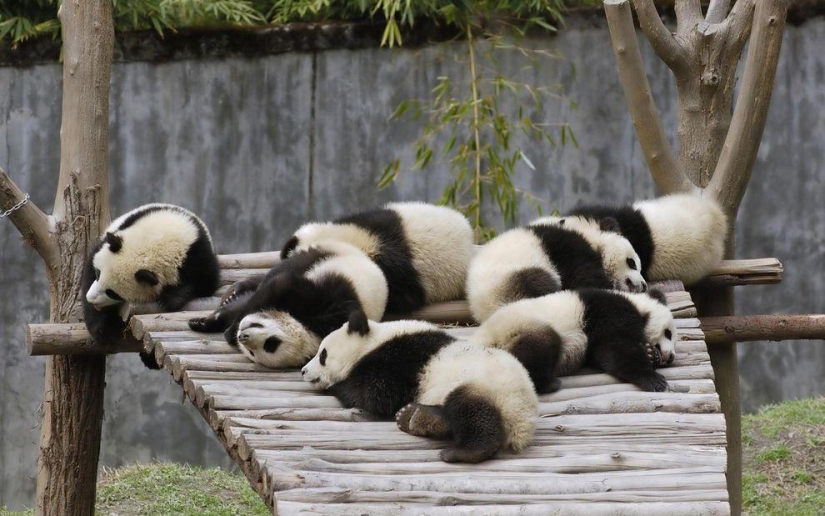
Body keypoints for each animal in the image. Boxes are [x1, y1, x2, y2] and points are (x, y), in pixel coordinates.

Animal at [82, 203, 220, 344]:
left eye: (112, 293)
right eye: (98, 274)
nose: (91, 298)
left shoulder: (197, 254)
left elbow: (205, 283)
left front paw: (170, 299)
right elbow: (88, 271)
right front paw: (100, 327)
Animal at [189, 240, 388, 369]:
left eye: (268, 346)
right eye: (272, 342)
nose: (242, 337)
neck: (309, 327)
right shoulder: (324, 301)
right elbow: (278, 286)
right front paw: (220, 325)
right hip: (323, 256)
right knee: (282, 270)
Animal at [302, 313, 537, 463]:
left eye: (323, 355)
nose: (303, 371)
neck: (374, 340)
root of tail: (523, 420)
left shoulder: (398, 360)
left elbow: (375, 395)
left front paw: (336, 385)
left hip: (487, 386)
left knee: (471, 409)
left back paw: (463, 451)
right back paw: (415, 417)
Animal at [466, 219, 647, 322]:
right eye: (632, 263)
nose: (644, 285)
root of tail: (483, 310)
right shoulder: (567, 249)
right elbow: (584, 277)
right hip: (510, 278)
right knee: (538, 283)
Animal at [471, 288, 676, 394]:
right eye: (668, 333)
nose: (671, 357)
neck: (638, 306)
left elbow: (604, 355)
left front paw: (649, 354)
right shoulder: (609, 314)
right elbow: (616, 349)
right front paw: (654, 380)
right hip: (519, 328)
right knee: (540, 347)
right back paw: (548, 384)